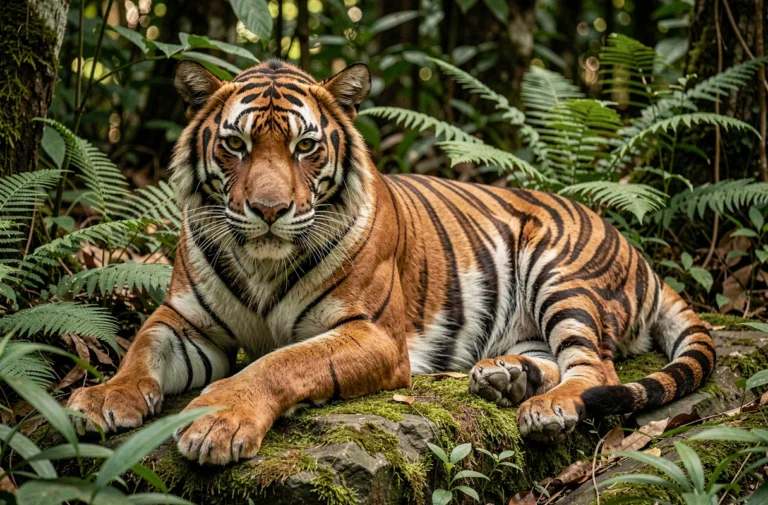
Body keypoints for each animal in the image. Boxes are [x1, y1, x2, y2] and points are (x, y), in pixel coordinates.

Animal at [67, 59, 716, 465]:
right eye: (234, 144)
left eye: (305, 146)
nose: (269, 210)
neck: (263, 263)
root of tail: (639, 251)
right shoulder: (186, 321)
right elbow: (141, 349)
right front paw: (103, 399)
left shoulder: (373, 333)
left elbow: (280, 362)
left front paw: (218, 420)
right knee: (551, 357)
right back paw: (506, 378)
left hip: (562, 274)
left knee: (596, 366)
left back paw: (549, 407)